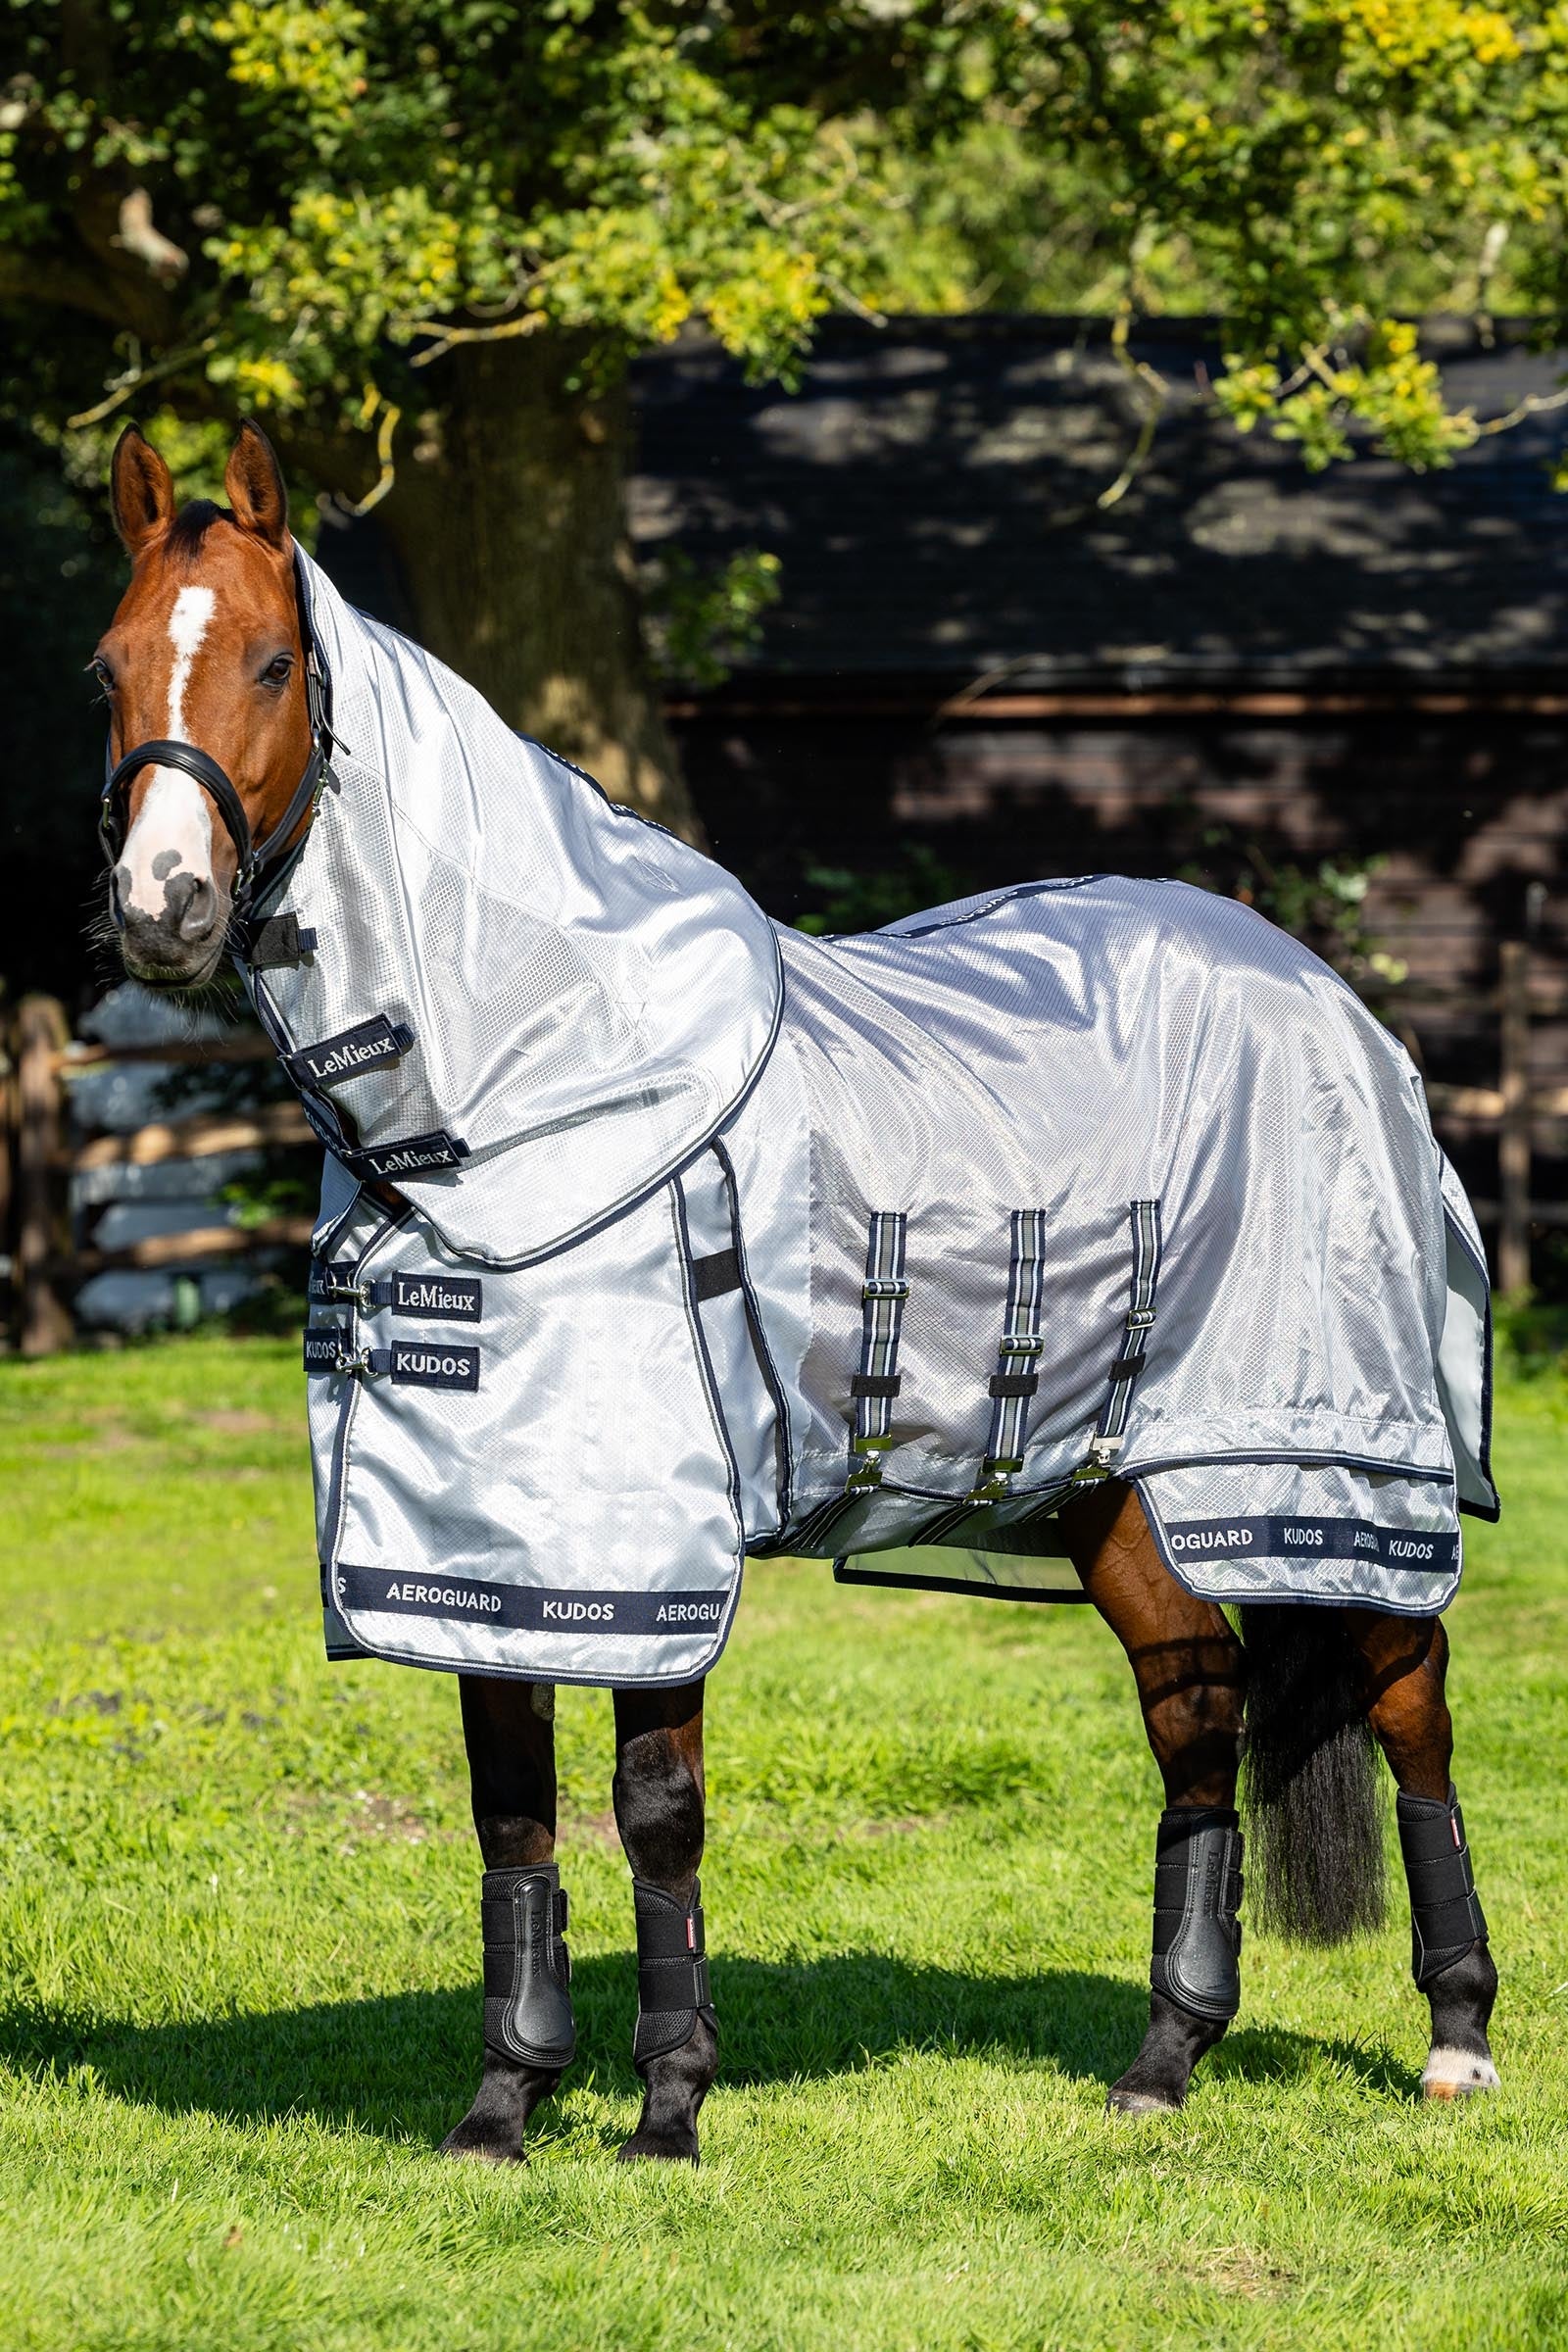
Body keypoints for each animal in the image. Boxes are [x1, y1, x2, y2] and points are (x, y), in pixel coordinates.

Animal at [90, 419, 1499, 2165]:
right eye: (107, 670)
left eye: (276, 663)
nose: (161, 907)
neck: (528, 1093)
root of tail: (1338, 1003)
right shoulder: (480, 1544)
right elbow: (510, 1813)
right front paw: (504, 2106)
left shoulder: (644, 1552)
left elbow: (656, 1813)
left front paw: (667, 2110)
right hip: (1113, 1488)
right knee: (1199, 1711)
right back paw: (1164, 2058)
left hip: (1318, 1467)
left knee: (1408, 1696)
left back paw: (1456, 2043)